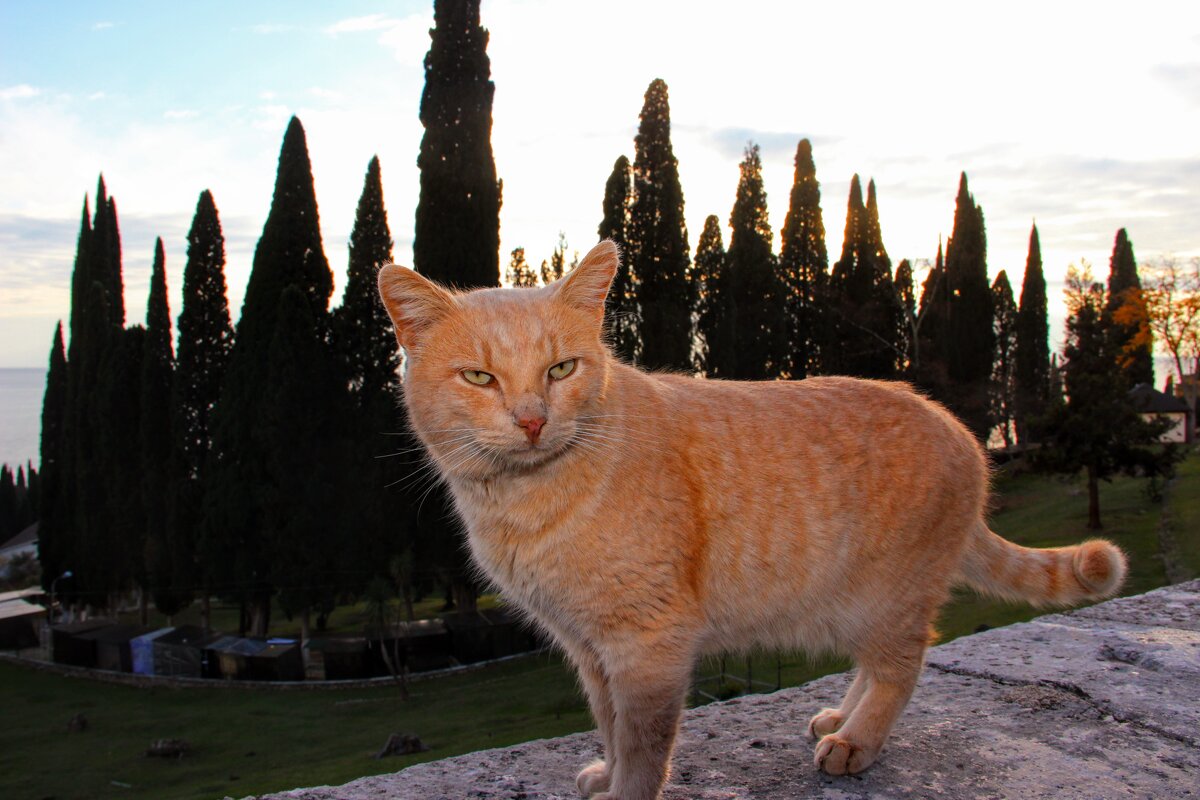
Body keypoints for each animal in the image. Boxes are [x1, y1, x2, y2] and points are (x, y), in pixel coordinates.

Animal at [379, 241, 1128, 796]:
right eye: (479, 377)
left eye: (561, 369)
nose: (533, 420)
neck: (523, 504)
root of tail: (964, 432)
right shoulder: (590, 649)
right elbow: (611, 726)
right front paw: (608, 773)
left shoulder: (647, 645)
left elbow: (643, 746)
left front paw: (627, 789)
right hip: (856, 606)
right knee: (879, 662)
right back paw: (840, 716)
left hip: (887, 598)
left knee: (903, 664)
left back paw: (856, 741)